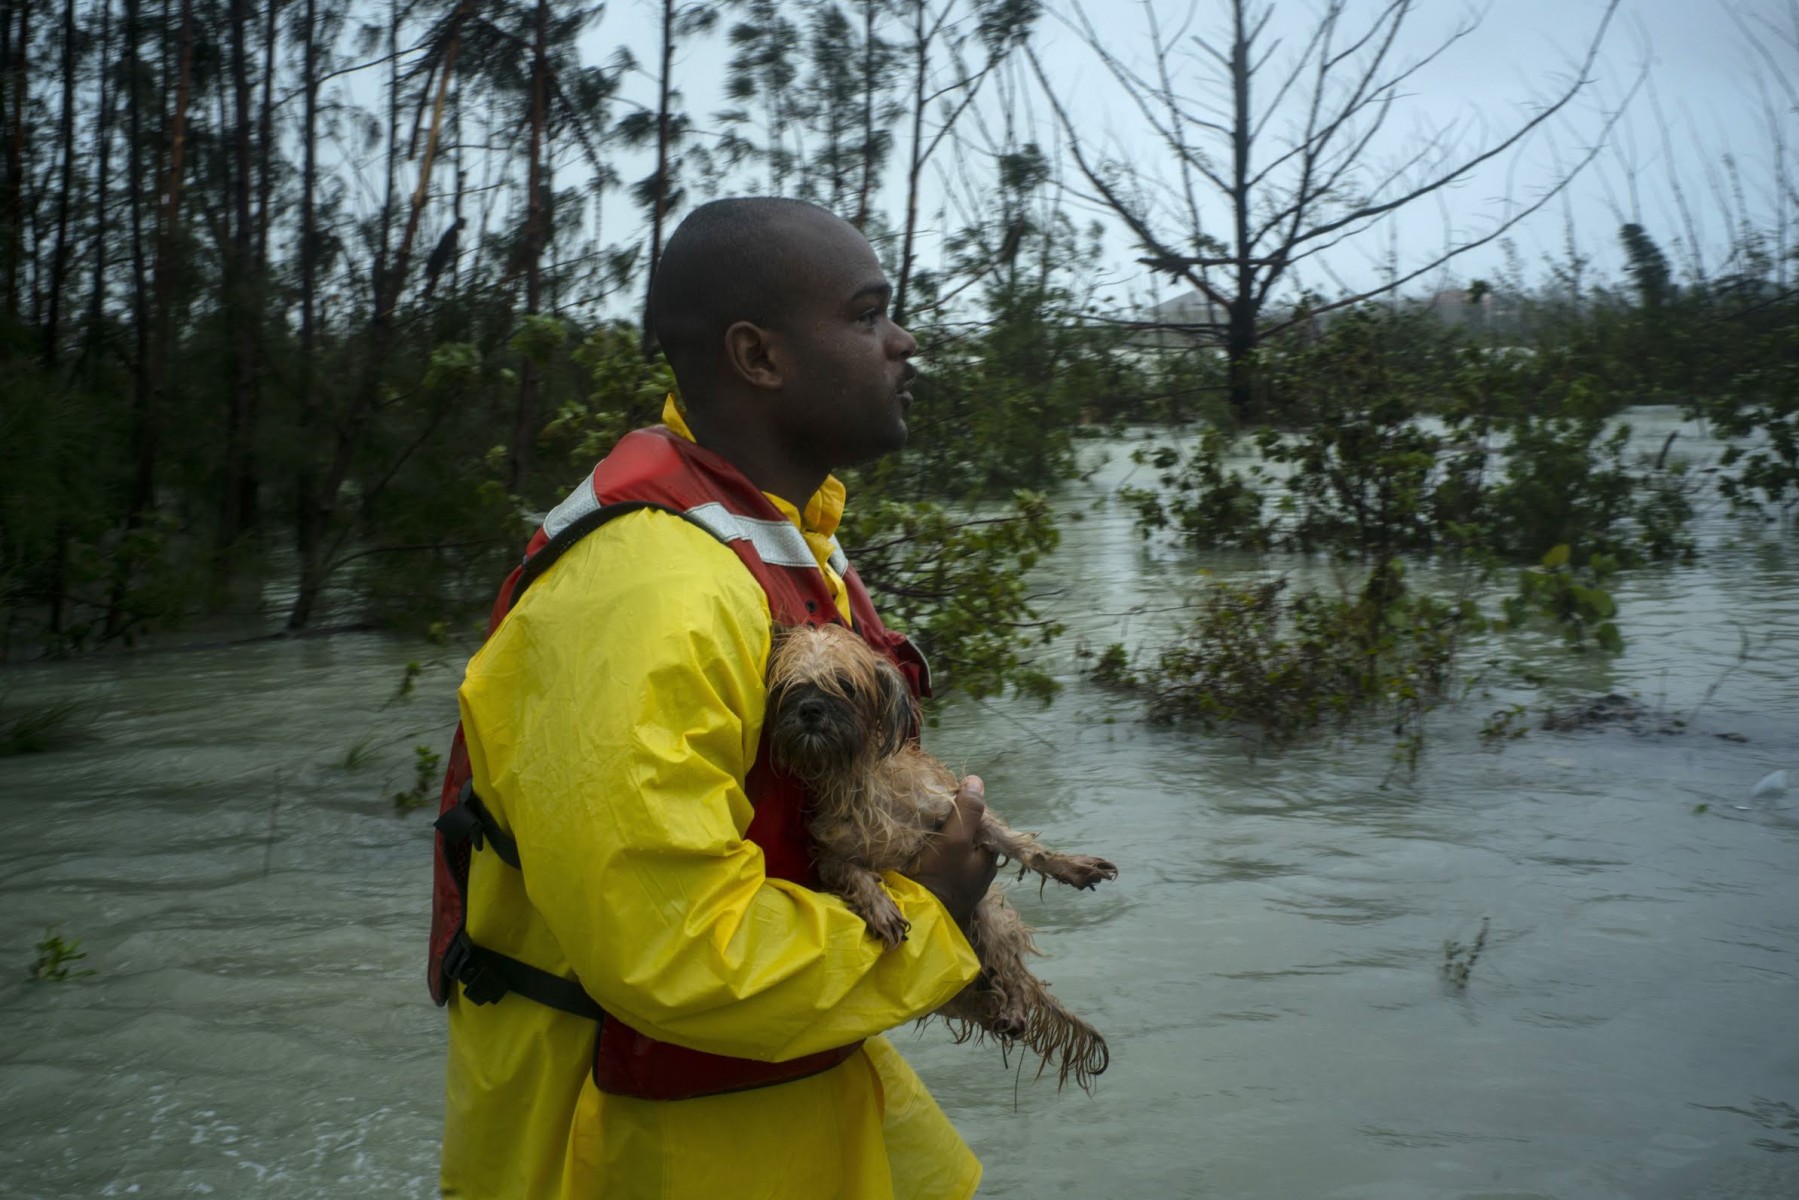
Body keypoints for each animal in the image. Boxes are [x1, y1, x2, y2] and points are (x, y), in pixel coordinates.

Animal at [766, 626, 1115, 1093]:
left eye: (844, 685)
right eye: (789, 686)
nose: (809, 709)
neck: (858, 780)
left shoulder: (955, 810)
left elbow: (1021, 845)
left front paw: (1069, 865)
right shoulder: (831, 853)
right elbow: (852, 873)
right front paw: (879, 906)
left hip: (991, 916)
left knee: (1013, 975)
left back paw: (1013, 1006)